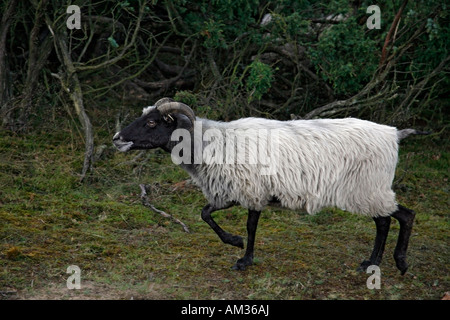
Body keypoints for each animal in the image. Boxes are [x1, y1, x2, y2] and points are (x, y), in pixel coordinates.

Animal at [113, 97, 426, 272]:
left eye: (152, 122)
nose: (117, 138)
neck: (209, 143)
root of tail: (394, 133)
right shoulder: (231, 190)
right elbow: (205, 213)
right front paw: (234, 242)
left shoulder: (251, 190)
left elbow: (250, 226)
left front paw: (243, 258)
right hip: (369, 190)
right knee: (389, 220)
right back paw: (379, 263)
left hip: (368, 188)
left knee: (400, 217)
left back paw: (392, 262)